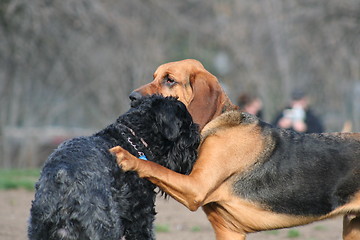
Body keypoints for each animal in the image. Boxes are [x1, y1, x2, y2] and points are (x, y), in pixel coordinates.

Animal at [28, 95, 200, 240]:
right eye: (187, 124)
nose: (197, 137)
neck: (132, 139)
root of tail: (63, 185)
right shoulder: (141, 215)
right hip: (105, 228)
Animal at [112, 59, 360, 238]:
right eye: (154, 77)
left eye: (170, 80)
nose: (132, 97)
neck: (216, 122)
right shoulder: (228, 230)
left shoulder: (194, 187)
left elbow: (153, 167)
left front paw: (126, 156)